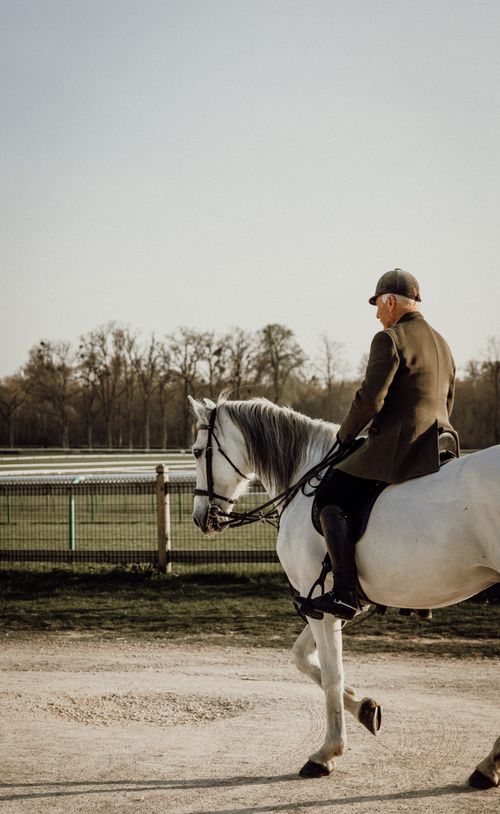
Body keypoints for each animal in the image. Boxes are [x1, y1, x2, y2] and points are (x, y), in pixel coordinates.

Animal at [188, 394, 500, 788]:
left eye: (198, 451)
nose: (201, 518)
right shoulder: (329, 602)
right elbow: (303, 659)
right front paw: (365, 707)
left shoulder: (320, 604)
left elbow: (331, 675)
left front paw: (327, 753)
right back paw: (489, 765)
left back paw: (488, 766)